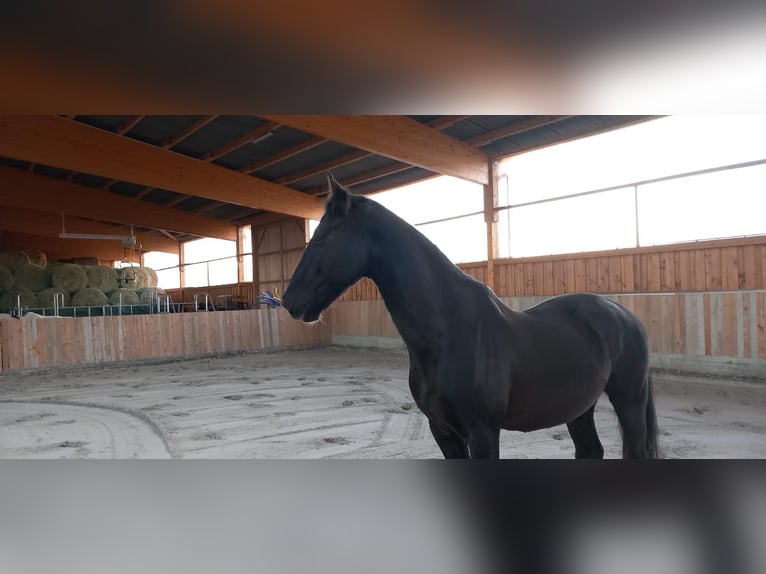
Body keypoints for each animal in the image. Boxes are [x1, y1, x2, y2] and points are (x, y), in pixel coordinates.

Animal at [282, 175, 659, 459]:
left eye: (321, 238)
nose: (289, 301)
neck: (449, 332)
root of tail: (625, 315)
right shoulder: (442, 431)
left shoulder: (482, 432)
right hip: (580, 406)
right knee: (591, 450)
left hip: (629, 400)